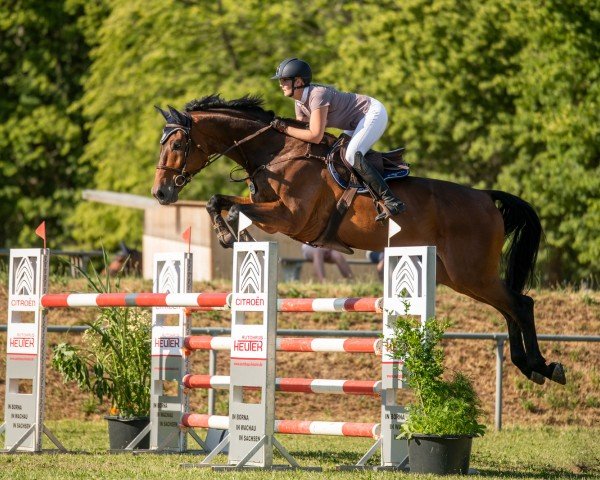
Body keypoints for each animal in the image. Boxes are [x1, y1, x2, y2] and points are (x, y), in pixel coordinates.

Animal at [152, 94, 564, 386]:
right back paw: (531, 367)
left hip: (471, 272)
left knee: (521, 303)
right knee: (510, 307)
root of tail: (484, 197)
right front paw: (231, 234)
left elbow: (230, 205)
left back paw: (544, 366)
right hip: (458, 276)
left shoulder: (290, 218)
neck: (277, 154)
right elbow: (219, 201)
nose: (161, 193)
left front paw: (232, 235)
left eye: (177, 146)